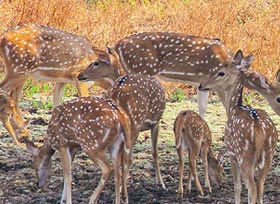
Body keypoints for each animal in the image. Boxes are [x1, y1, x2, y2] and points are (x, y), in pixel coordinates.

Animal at [79, 31, 245, 118]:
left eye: (95, 63)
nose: (80, 75)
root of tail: (117, 44)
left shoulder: (204, 84)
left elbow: (205, 109)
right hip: (140, 70)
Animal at [199, 49, 278, 204]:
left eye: (221, 72)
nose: (201, 85)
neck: (233, 109)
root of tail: (259, 129)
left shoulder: (232, 154)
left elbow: (237, 186)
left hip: (244, 155)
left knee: (252, 188)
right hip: (269, 154)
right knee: (260, 186)